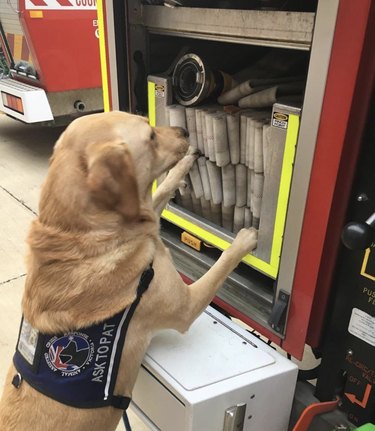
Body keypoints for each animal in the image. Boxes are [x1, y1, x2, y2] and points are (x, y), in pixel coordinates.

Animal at [0, 111, 258, 431]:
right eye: (150, 136)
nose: (184, 131)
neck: (82, 234)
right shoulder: (185, 306)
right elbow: (220, 265)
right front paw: (243, 241)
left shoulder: (146, 218)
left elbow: (161, 190)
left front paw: (184, 165)